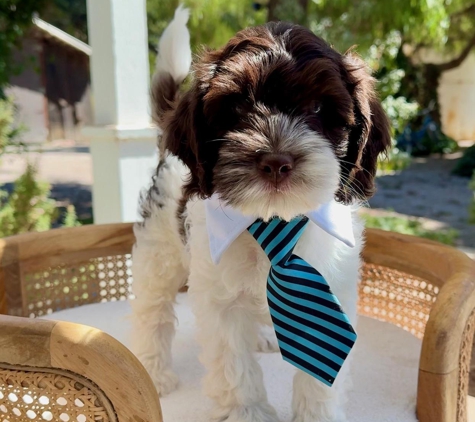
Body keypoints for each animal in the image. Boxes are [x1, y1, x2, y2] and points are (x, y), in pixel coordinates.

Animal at [130, 7, 390, 422]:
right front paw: (247, 411)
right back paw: (153, 368)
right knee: (152, 308)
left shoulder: (332, 291)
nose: (276, 161)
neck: (274, 221)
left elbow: (319, 376)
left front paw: (316, 415)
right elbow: (234, 365)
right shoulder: (218, 301)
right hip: (159, 247)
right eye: (236, 107)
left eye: (318, 108)